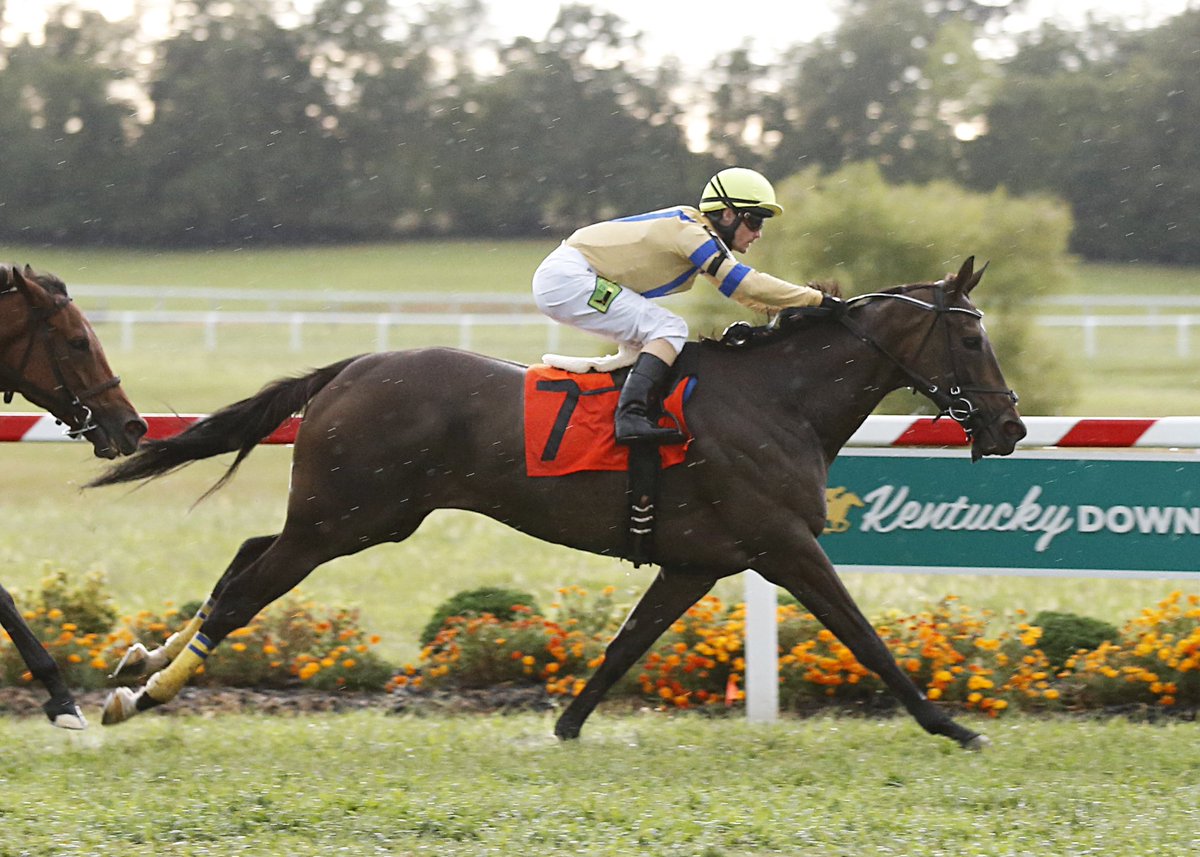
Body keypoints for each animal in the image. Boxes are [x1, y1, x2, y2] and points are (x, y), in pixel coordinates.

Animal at [90, 256, 1025, 749]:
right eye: (970, 333)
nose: (1011, 423)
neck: (777, 400)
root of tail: (349, 366)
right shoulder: (784, 543)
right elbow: (865, 636)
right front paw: (950, 723)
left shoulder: (698, 560)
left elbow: (623, 647)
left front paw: (566, 726)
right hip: (346, 520)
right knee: (248, 589)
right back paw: (145, 692)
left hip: (351, 518)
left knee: (244, 559)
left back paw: (142, 659)